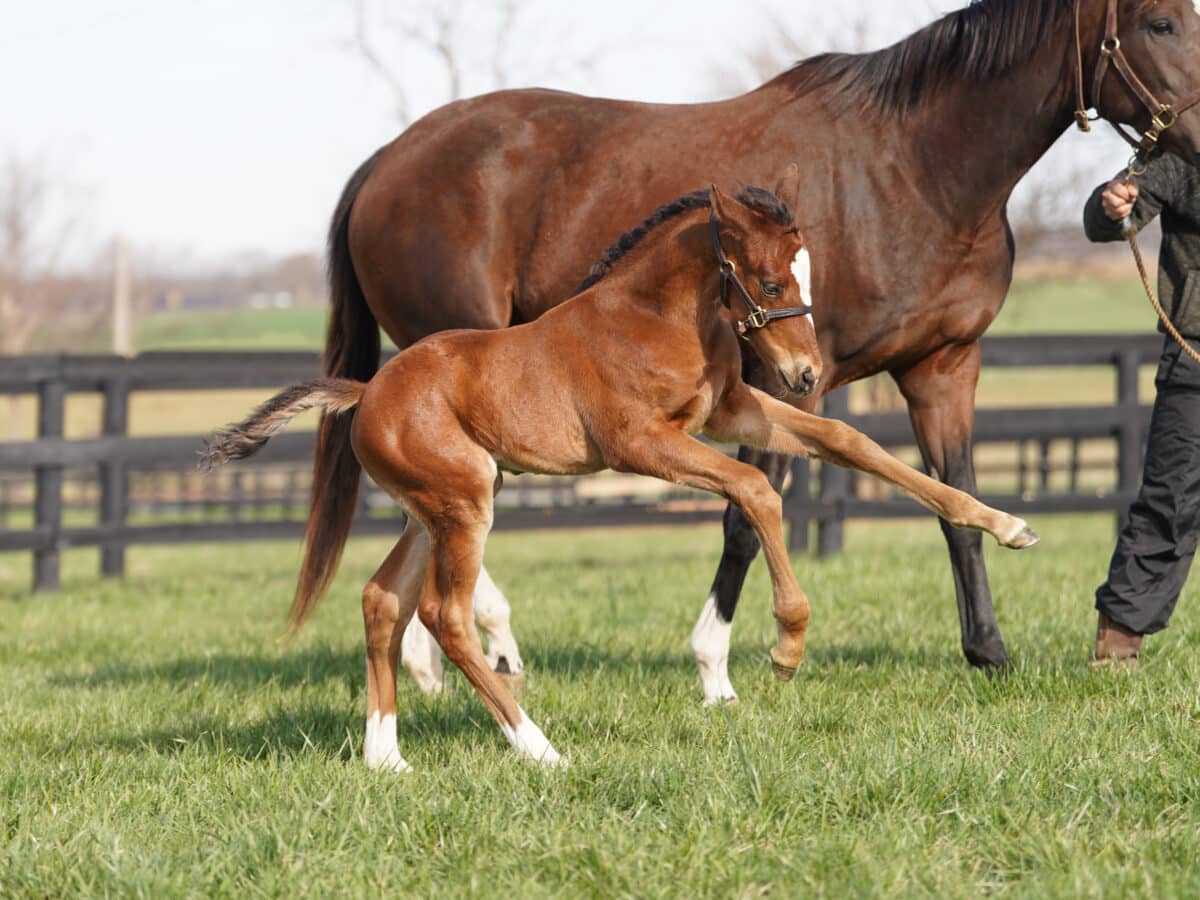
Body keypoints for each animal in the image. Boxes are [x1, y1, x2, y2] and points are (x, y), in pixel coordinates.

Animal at [201, 180, 1036, 772]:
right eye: (767, 282)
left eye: (805, 275)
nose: (804, 373)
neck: (655, 318)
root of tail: (366, 392)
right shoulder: (641, 444)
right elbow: (756, 491)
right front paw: (788, 646)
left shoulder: (731, 411)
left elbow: (849, 442)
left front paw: (1005, 524)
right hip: (464, 503)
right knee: (444, 614)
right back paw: (540, 750)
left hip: (434, 507)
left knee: (383, 601)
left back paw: (388, 759)